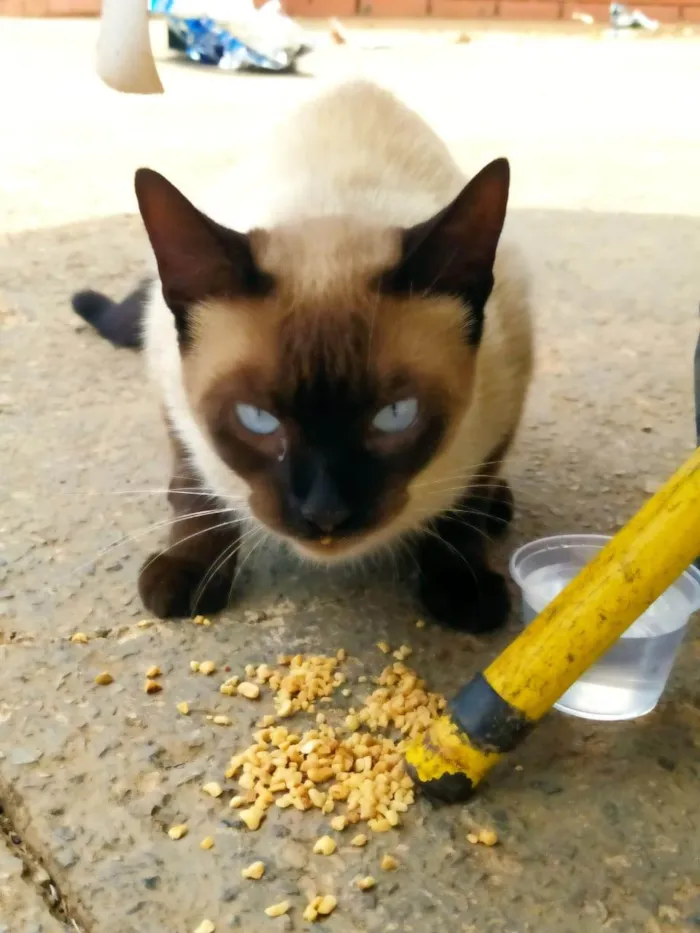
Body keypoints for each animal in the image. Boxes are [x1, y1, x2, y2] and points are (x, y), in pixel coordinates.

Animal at [72, 80, 532, 628]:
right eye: (257, 420)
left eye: (396, 416)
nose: (324, 514)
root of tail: (358, 85)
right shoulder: (172, 396)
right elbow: (193, 489)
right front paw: (186, 572)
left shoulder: (505, 400)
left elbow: (465, 508)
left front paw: (463, 589)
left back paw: (500, 508)